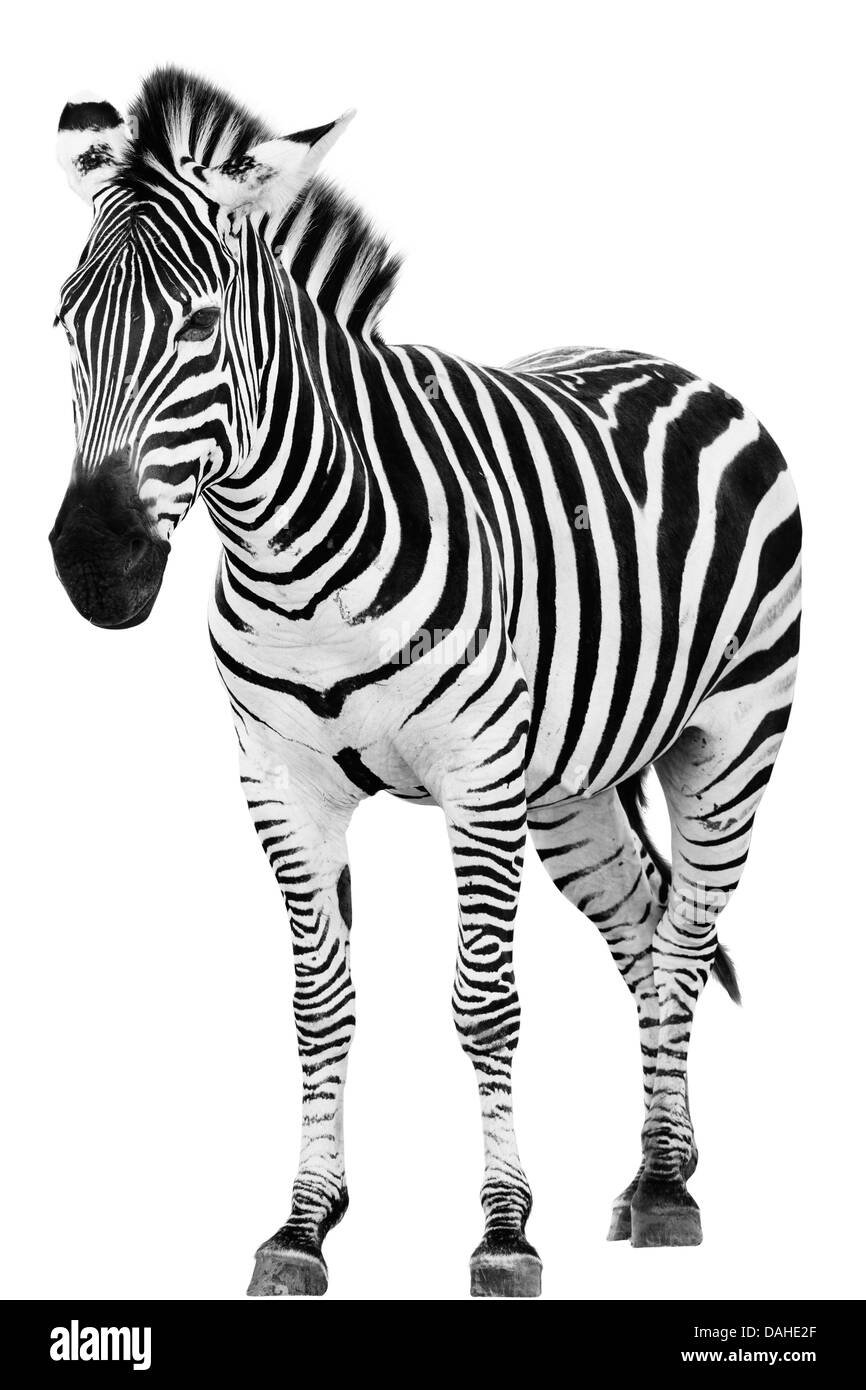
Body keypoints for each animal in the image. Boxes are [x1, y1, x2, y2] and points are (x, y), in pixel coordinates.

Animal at [50, 67, 801, 1299]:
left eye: (202, 323)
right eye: (66, 322)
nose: (93, 566)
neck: (293, 551)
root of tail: (666, 364)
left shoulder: (477, 780)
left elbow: (485, 1004)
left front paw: (503, 1232)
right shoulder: (281, 782)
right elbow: (319, 1005)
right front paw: (302, 1225)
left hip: (730, 745)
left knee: (686, 944)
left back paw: (665, 1190)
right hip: (575, 790)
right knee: (642, 935)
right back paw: (655, 1166)